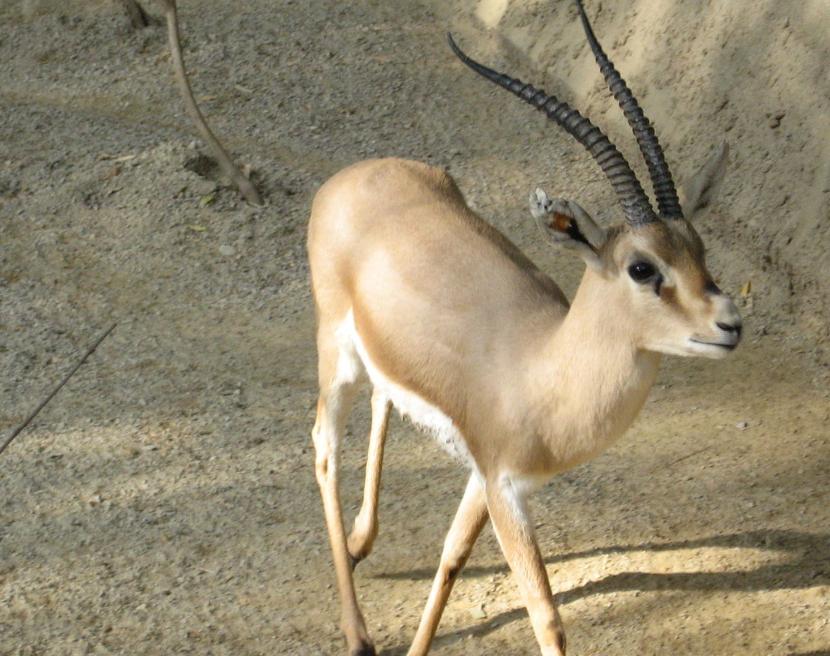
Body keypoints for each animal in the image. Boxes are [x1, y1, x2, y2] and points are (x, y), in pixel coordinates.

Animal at [307, 2, 741, 654]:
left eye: (700, 250)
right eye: (642, 267)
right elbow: (545, 613)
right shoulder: (505, 486)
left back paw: (362, 542)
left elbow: (452, 555)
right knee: (324, 447)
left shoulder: (483, 475)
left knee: (383, 398)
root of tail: (351, 176)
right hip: (335, 353)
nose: (729, 324)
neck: (543, 368)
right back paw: (357, 631)